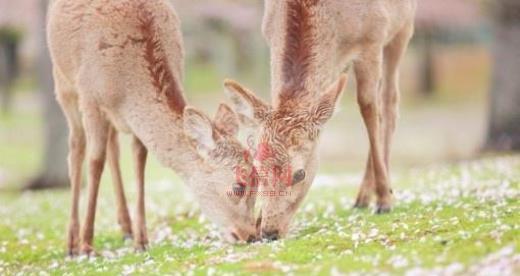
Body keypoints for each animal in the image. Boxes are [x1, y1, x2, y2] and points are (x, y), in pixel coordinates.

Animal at [47, 0, 258, 256]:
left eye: (258, 182)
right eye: (238, 186)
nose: (250, 235)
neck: (126, 90)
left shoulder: (134, 123)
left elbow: (139, 160)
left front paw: (141, 240)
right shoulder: (91, 99)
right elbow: (95, 162)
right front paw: (87, 245)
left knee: (113, 146)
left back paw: (126, 228)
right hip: (63, 82)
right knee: (77, 145)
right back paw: (71, 241)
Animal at [225, 0, 416, 239]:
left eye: (300, 174)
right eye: (258, 170)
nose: (270, 231)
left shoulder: (374, 37)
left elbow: (369, 109)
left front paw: (384, 199)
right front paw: (258, 221)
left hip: (404, 26)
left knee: (389, 101)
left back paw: (375, 193)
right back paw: (363, 197)